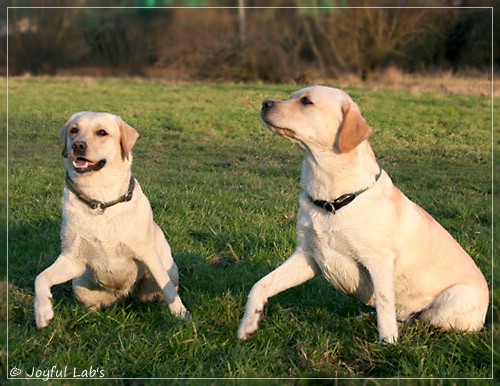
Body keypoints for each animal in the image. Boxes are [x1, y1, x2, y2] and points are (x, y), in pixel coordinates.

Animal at [33, 110, 189, 328]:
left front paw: (181, 315)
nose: (78, 145)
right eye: (74, 130)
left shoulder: (147, 254)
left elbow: (167, 288)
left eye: (102, 132)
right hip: (79, 284)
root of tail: (123, 295)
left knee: (164, 288)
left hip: (169, 270)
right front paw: (42, 312)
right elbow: (40, 278)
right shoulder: (73, 259)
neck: (100, 200)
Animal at [238, 86, 488, 342]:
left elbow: (385, 305)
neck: (331, 201)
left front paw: (388, 343)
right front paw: (248, 325)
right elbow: (261, 284)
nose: (265, 103)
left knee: (422, 322)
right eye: (292, 96)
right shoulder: (308, 256)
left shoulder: (378, 262)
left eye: (306, 101)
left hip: (451, 302)